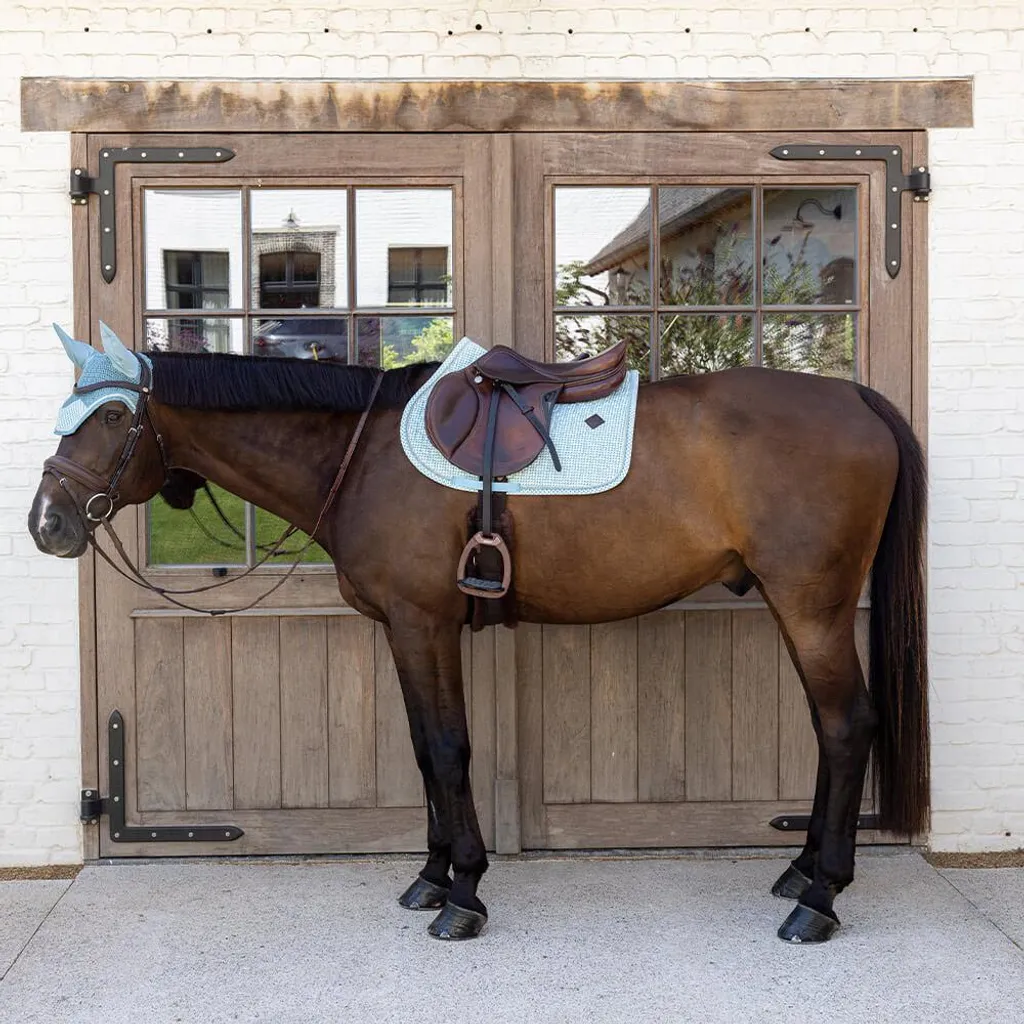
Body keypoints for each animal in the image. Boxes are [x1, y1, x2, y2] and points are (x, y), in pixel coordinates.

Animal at [29, 323, 928, 944]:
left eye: (111, 416)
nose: (47, 523)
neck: (360, 454)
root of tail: (857, 399)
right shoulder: (405, 629)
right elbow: (427, 750)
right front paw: (430, 879)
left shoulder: (423, 622)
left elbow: (449, 748)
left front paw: (461, 896)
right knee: (831, 729)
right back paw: (801, 873)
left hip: (811, 606)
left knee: (847, 725)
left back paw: (820, 899)